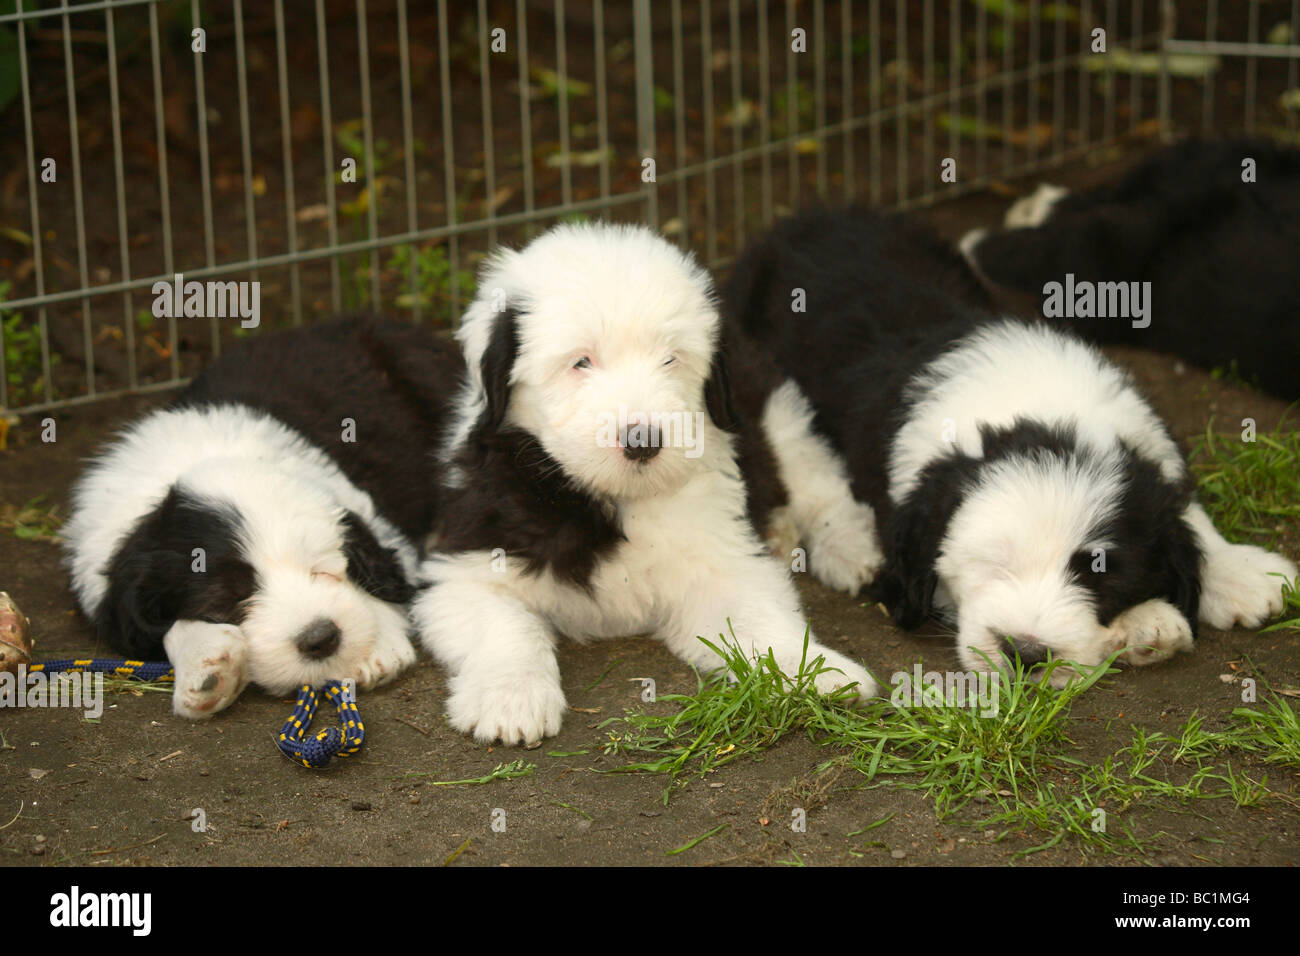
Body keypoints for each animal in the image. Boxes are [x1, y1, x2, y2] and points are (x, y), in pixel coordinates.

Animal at [410, 218, 878, 749]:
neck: (613, 498)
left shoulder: (716, 559)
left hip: (776, 413)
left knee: (819, 486)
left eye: (671, 359)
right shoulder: (465, 564)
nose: (642, 441)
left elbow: (759, 618)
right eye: (581, 361)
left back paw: (848, 550)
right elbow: (504, 625)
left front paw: (819, 673)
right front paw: (510, 700)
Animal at [728, 205, 1294, 676]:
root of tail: (804, 216)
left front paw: (1232, 577)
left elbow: (1182, 509)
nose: (1026, 653)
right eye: (991, 563)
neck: (1040, 409)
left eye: (1097, 575)